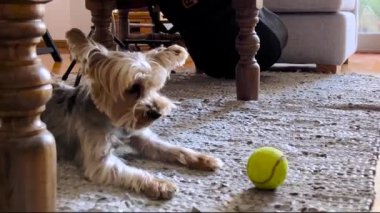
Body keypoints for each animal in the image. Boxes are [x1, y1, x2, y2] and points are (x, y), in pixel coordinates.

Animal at [40, 28, 223, 200]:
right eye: (134, 88)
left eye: (155, 86)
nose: (157, 112)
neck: (116, 121)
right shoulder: (100, 162)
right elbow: (134, 173)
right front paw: (159, 184)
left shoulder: (144, 138)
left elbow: (172, 149)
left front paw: (203, 159)